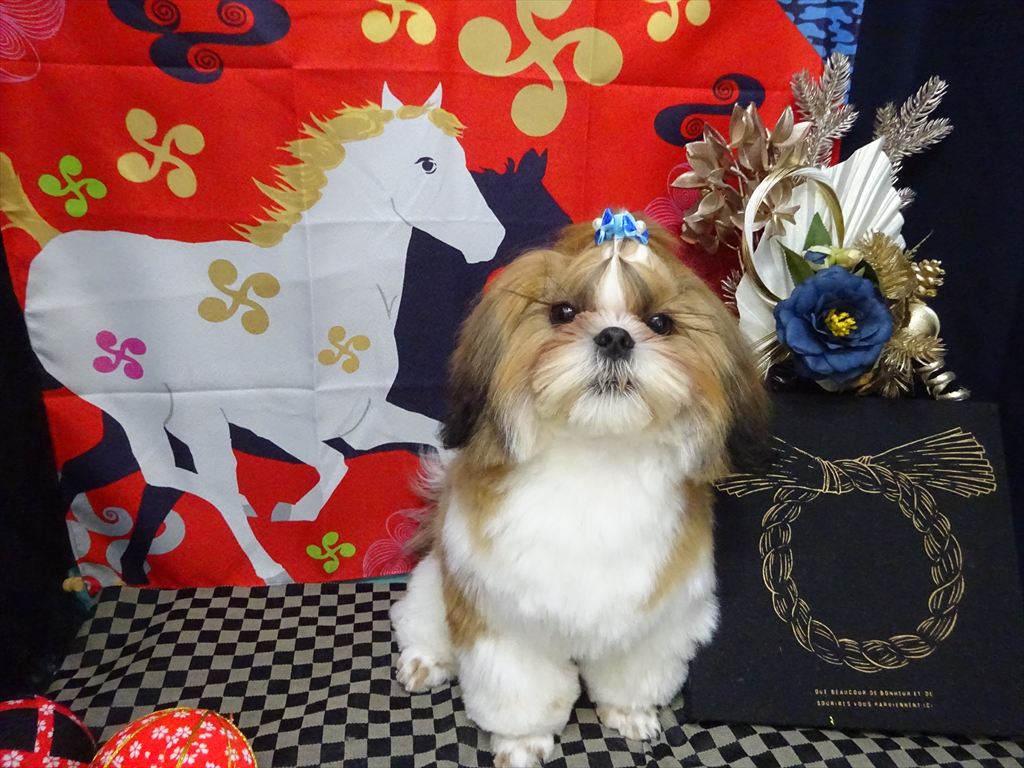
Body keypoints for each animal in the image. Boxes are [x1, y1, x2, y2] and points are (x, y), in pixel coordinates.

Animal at [390, 211, 770, 767]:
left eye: (660, 323)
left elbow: (633, 672)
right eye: (563, 312)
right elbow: (521, 689)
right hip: (437, 583)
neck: (595, 459)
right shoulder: (502, 620)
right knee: (418, 618)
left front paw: (630, 714)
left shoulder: (653, 616)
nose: (615, 337)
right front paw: (522, 743)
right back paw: (424, 662)